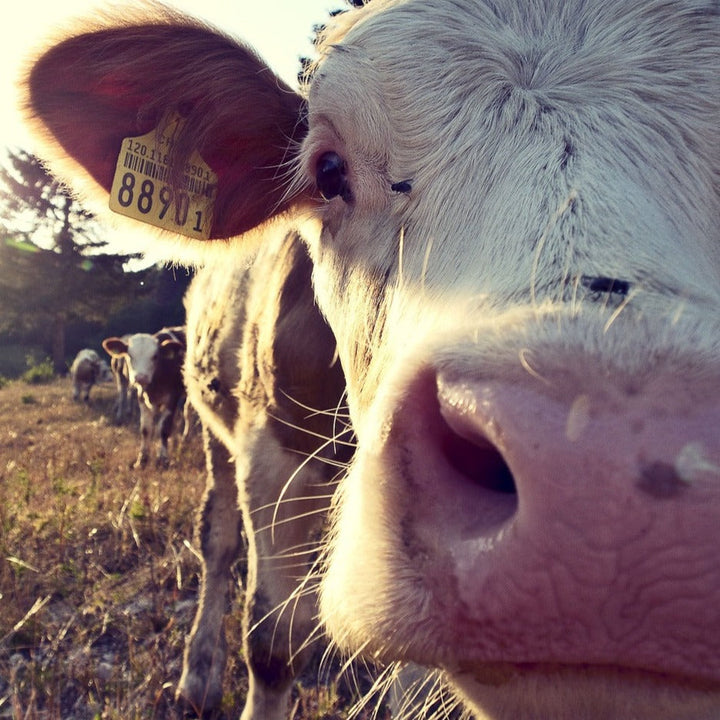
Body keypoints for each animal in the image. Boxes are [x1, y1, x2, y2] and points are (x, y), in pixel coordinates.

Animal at [102, 327, 186, 468]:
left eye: (155, 356)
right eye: (130, 356)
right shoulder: (142, 398)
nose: (141, 377)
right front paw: (142, 460)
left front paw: (163, 459)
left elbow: (164, 428)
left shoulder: (172, 399)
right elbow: (146, 429)